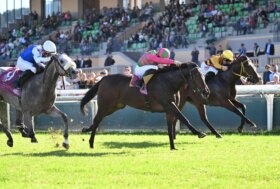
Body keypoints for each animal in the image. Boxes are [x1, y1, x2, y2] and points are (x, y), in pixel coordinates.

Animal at [80, 62, 209, 150]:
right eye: (197, 76)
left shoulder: (169, 109)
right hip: (105, 105)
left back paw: (87, 130)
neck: (168, 83)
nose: (206, 92)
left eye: (204, 76)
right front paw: (199, 133)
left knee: (98, 120)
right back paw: (91, 142)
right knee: (97, 119)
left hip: (115, 106)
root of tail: (103, 79)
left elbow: (170, 127)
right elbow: (184, 118)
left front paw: (172, 147)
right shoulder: (169, 105)